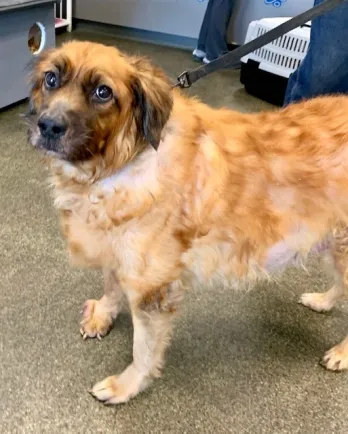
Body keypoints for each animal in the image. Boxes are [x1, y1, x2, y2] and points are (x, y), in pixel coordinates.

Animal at [27, 39, 348, 404]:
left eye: (102, 91)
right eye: (51, 79)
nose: (48, 127)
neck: (126, 161)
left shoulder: (153, 288)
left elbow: (143, 351)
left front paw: (126, 386)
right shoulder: (120, 251)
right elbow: (110, 284)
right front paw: (104, 314)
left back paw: (342, 352)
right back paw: (322, 301)